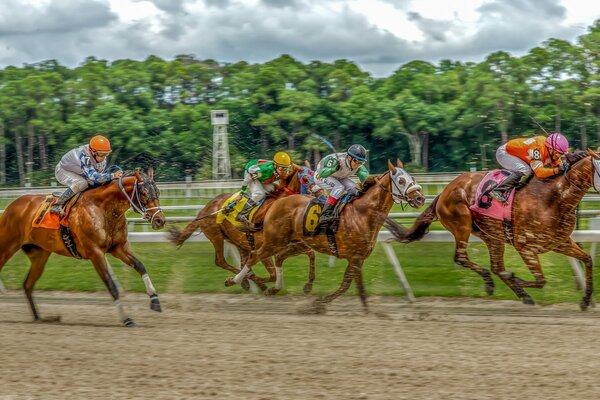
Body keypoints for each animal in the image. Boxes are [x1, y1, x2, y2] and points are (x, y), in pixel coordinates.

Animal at [0, 167, 166, 326]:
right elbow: (111, 285)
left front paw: (155, 301)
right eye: (144, 193)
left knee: (28, 284)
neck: (103, 209)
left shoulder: (118, 247)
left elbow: (140, 266)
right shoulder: (95, 253)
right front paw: (126, 319)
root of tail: (12, 206)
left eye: (157, 192)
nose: (160, 220)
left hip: (39, 255)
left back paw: (38, 317)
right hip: (6, 247)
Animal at [223, 160, 424, 312]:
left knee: (277, 258)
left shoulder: (357, 258)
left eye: (412, 178)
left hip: (294, 243)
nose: (420, 198)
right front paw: (319, 303)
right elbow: (350, 286)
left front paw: (366, 311)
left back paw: (272, 288)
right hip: (273, 240)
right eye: (401, 181)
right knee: (254, 256)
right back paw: (234, 280)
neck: (363, 213)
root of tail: (277, 203)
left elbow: (351, 286)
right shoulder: (355, 257)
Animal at [384, 150, 596, 310]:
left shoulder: (560, 242)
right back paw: (490, 283)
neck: (554, 197)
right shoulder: (525, 247)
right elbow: (540, 280)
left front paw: (586, 301)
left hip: (492, 234)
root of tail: (444, 191)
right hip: (462, 223)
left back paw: (521, 294)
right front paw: (514, 277)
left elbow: (587, 259)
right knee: (462, 258)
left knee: (496, 266)